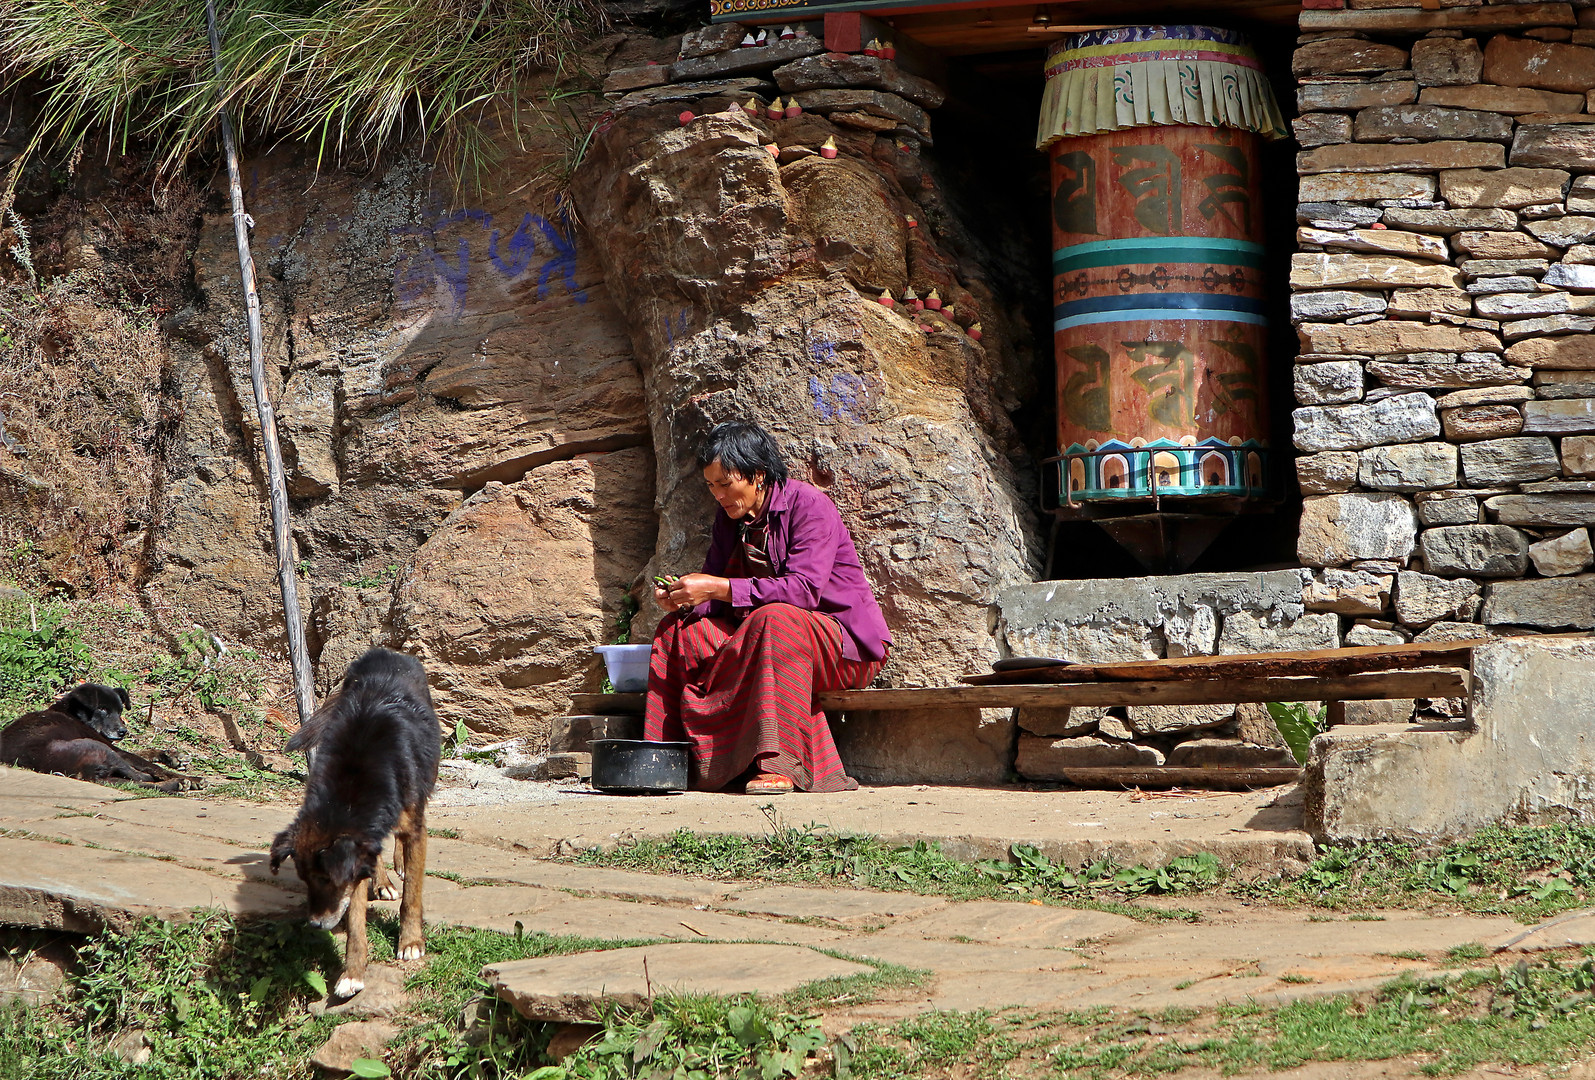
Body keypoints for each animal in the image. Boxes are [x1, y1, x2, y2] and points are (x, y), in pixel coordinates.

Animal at [0, 682, 202, 791]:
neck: (74, 714)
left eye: (120, 711)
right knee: (142, 778)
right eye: (102, 709)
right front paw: (192, 778)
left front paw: (172, 756)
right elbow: (150, 765)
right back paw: (179, 782)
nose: (123, 731)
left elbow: (145, 752)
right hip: (99, 748)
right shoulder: (113, 747)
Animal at [269, 644, 440, 995]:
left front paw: (410, 942)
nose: (315, 924)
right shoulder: (357, 855)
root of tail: (385, 651)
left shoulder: (413, 828)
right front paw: (352, 973)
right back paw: (384, 881)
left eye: (325, 880)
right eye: (305, 880)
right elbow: (356, 919)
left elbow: (412, 895)